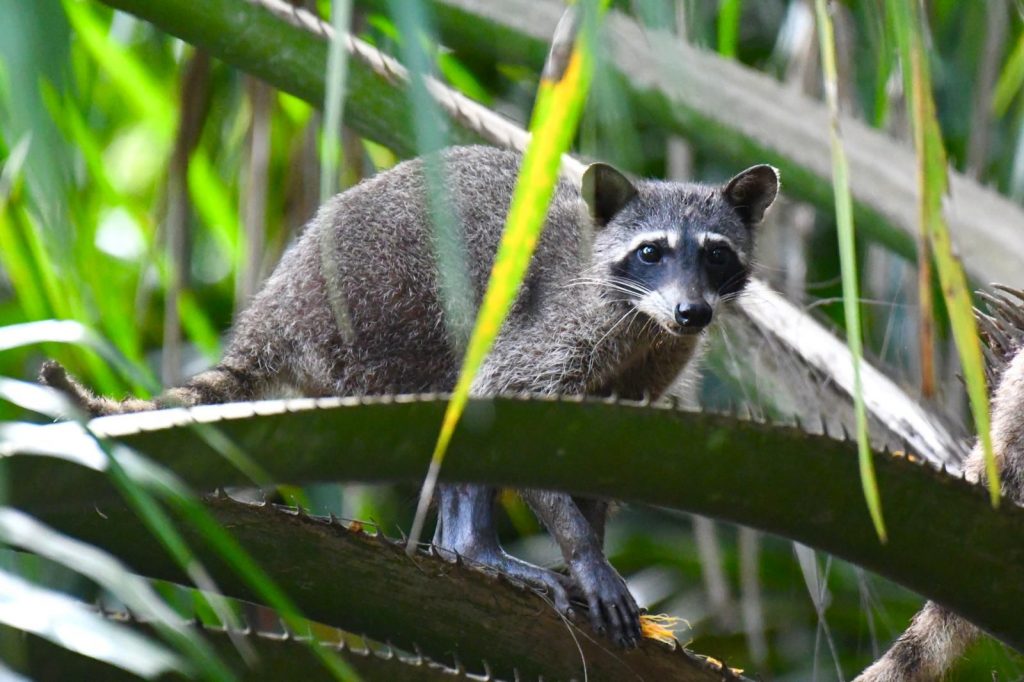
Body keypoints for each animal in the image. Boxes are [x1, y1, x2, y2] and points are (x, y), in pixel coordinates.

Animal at [39, 146, 774, 647]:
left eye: (715, 254)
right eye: (652, 252)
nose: (692, 313)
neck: (642, 318)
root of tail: (273, 312)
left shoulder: (648, 370)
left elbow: (598, 459)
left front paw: (590, 540)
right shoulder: (559, 326)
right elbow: (509, 397)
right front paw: (583, 553)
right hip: (380, 319)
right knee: (461, 394)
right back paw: (472, 547)